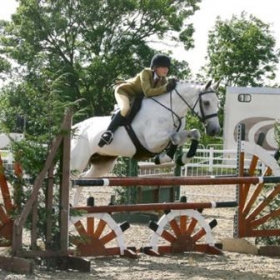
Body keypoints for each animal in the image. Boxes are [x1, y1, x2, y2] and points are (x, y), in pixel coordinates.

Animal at [70, 80, 221, 178]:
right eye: (206, 103)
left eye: (218, 103)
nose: (215, 130)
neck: (170, 109)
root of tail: (75, 128)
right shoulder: (152, 142)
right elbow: (175, 137)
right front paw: (163, 158)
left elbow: (194, 133)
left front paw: (183, 159)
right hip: (77, 161)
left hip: (103, 163)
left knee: (83, 179)